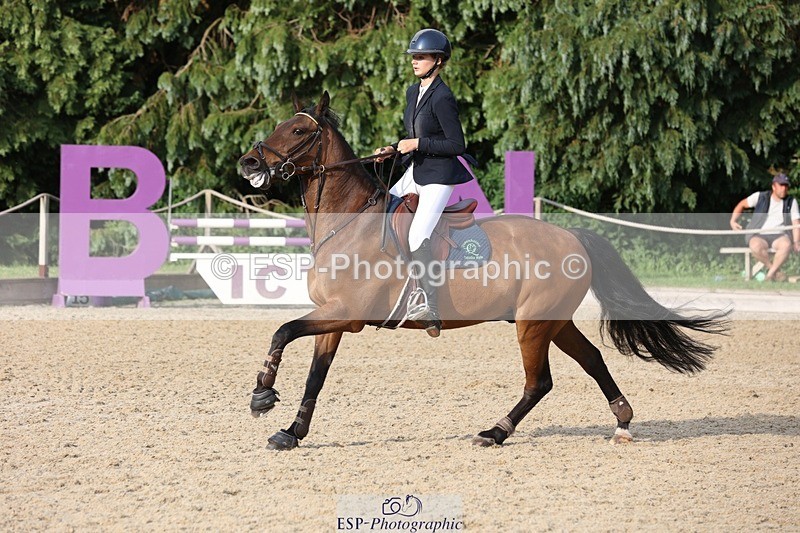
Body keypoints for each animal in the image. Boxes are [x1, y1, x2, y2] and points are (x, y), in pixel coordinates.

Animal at [237, 91, 729, 450]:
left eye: (298, 129)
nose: (249, 163)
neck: (348, 221)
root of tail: (571, 236)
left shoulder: (348, 314)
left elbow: (282, 330)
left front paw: (262, 393)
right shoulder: (333, 317)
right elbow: (315, 376)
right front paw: (291, 433)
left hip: (533, 324)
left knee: (539, 381)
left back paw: (495, 432)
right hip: (553, 320)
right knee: (592, 359)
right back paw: (622, 422)